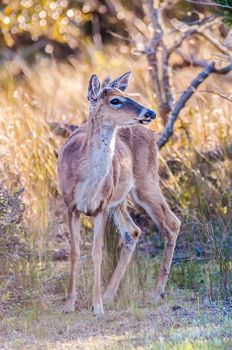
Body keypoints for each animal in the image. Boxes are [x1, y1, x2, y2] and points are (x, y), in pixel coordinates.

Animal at [57, 72, 180, 316]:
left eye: (127, 95)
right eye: (115, 100)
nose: (150, 113)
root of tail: (151, 135)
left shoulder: (102, 206)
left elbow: (97, 252)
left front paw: (97, 307)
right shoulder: (70, 205)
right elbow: (74, 251)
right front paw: (68, 305)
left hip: (146, 182)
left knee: (171, 223)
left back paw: (156, 293)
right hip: (121, 200)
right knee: (133, 231)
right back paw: (110, 294)